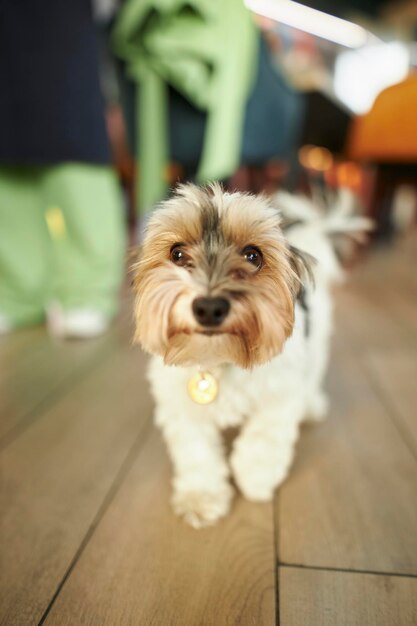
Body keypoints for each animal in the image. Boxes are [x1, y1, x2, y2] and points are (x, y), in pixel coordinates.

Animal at [132, 182, 368, 528]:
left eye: (252, 256)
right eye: (177, 254)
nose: (209, 307)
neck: (221, 359)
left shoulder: (279, 397)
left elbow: (262, 440)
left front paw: (256, 480)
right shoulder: (182, 408)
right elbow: (196, 454)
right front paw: (201, 497)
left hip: (318, 339)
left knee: (313, 373)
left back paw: (312, 405)